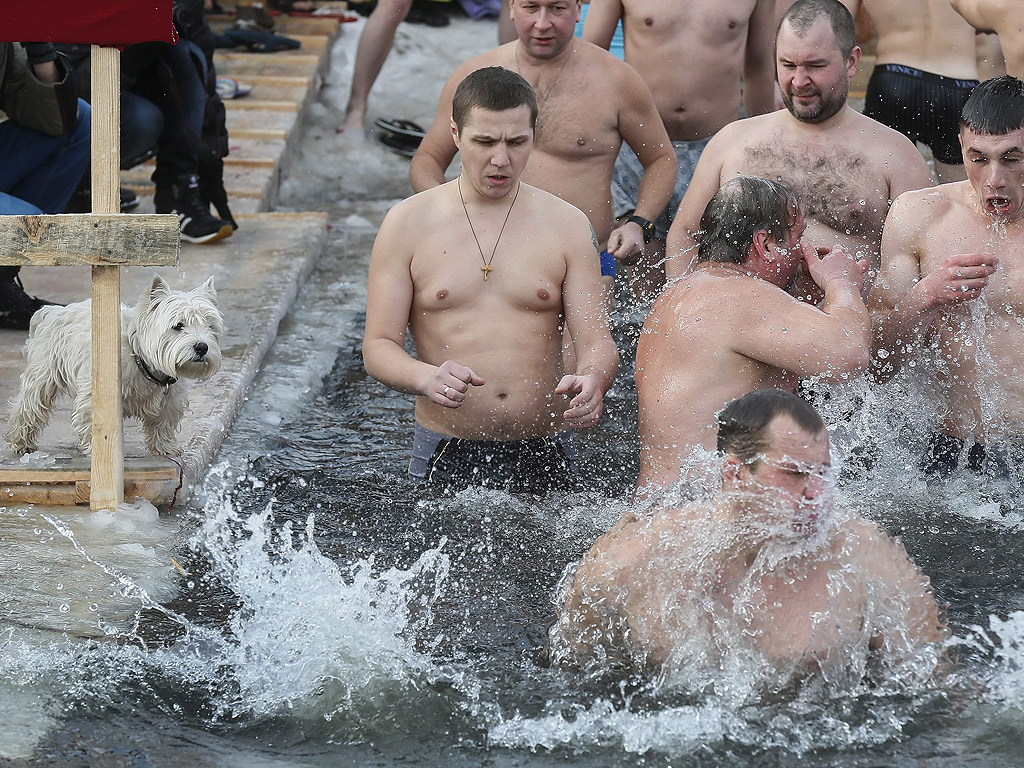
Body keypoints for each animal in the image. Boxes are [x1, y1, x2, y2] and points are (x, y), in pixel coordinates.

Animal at [5, 274, 222, 456]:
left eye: (210, 326)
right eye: (178, 326)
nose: (202, 347)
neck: (142, 360)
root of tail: (52, 311)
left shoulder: (171, 400)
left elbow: (163, 424)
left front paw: (165, 448)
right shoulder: (96, 394)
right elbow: (95, 422)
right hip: (44, 374)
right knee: (28, 406)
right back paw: (21, 442)